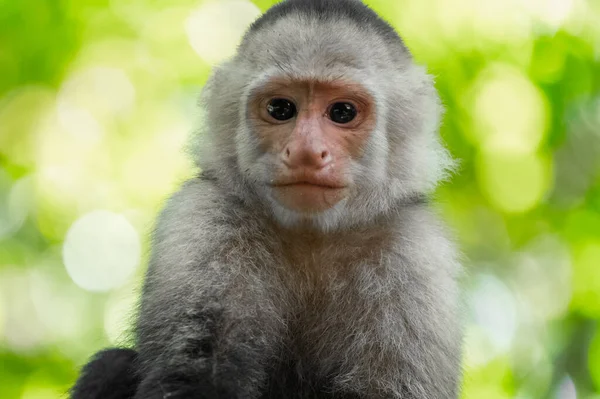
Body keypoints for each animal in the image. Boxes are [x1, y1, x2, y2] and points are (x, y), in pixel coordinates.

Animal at [69, 0, 464, 398]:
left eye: (342, 112)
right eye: (280, 109)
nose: (306, 152)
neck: (311, 237)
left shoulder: (416, 251)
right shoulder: (202, 215)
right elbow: (192, 377)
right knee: (112, 364)